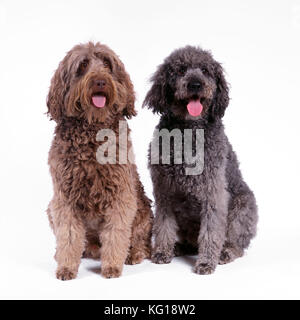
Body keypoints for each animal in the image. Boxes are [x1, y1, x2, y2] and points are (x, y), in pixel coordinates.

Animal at [47, 43, 154, 280]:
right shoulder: (64, 198)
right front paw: (66, 266)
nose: (100, 81)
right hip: (51, 208)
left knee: (139, 239)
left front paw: (112, 266)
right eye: (83, 65)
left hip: (143, 211)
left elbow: (116, 233)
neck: (93, 128)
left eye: (107, 63)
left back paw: (134, 254)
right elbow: (68, 235)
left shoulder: (121, 195)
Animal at [143, 46, 258, 274]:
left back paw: (226, 252)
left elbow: (211, 230)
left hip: (243, 205)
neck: (188, 131)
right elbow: (164, 224)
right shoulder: (164, 191)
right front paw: (162, 251)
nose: (195, 84)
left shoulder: (213, 192)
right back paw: (179, 247)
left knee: (237, 244)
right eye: (180, 70)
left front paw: (206, 261)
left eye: (205, 70)